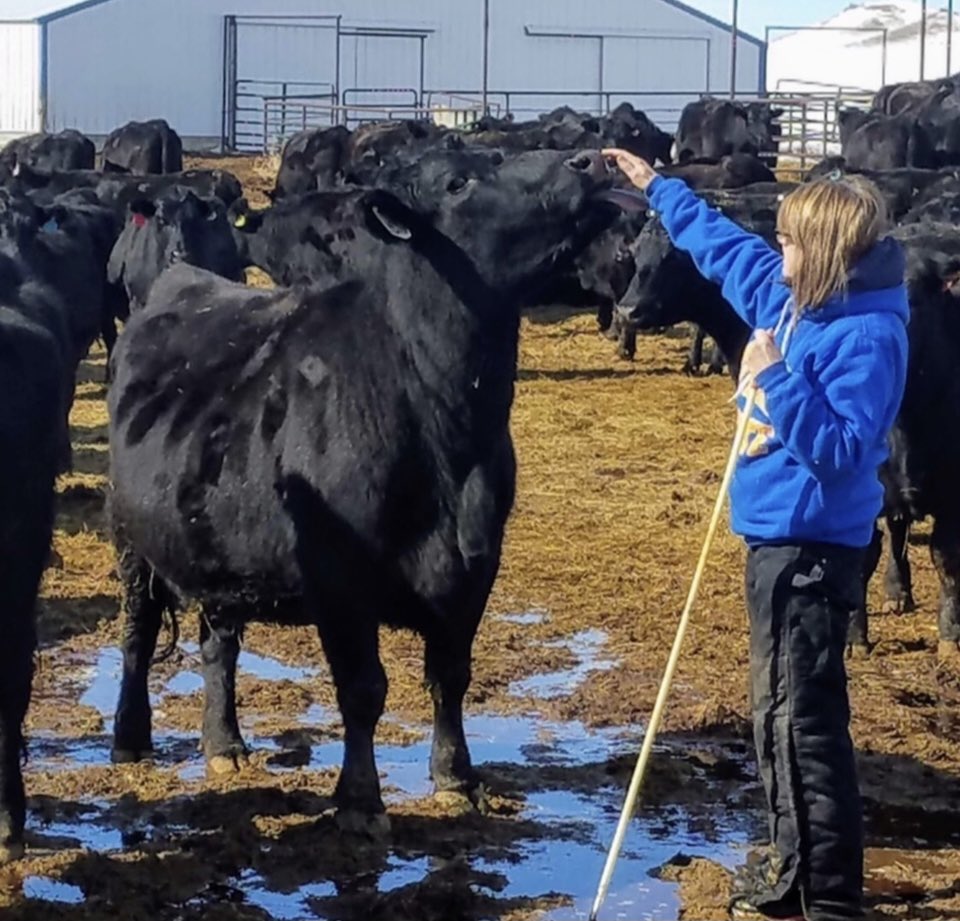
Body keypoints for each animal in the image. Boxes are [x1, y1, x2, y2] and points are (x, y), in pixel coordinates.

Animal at [106, 149, 615, 832]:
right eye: (459, 181)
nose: (587, 160)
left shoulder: (476, 566)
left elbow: (451, 674)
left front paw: (456, 779)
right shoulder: (339, 576)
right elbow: (364, 688)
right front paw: (359, 799)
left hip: (217, 547)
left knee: (220, 644)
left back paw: (225, 745)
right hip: (130, 537)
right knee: (137, 630)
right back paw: (130, 738)